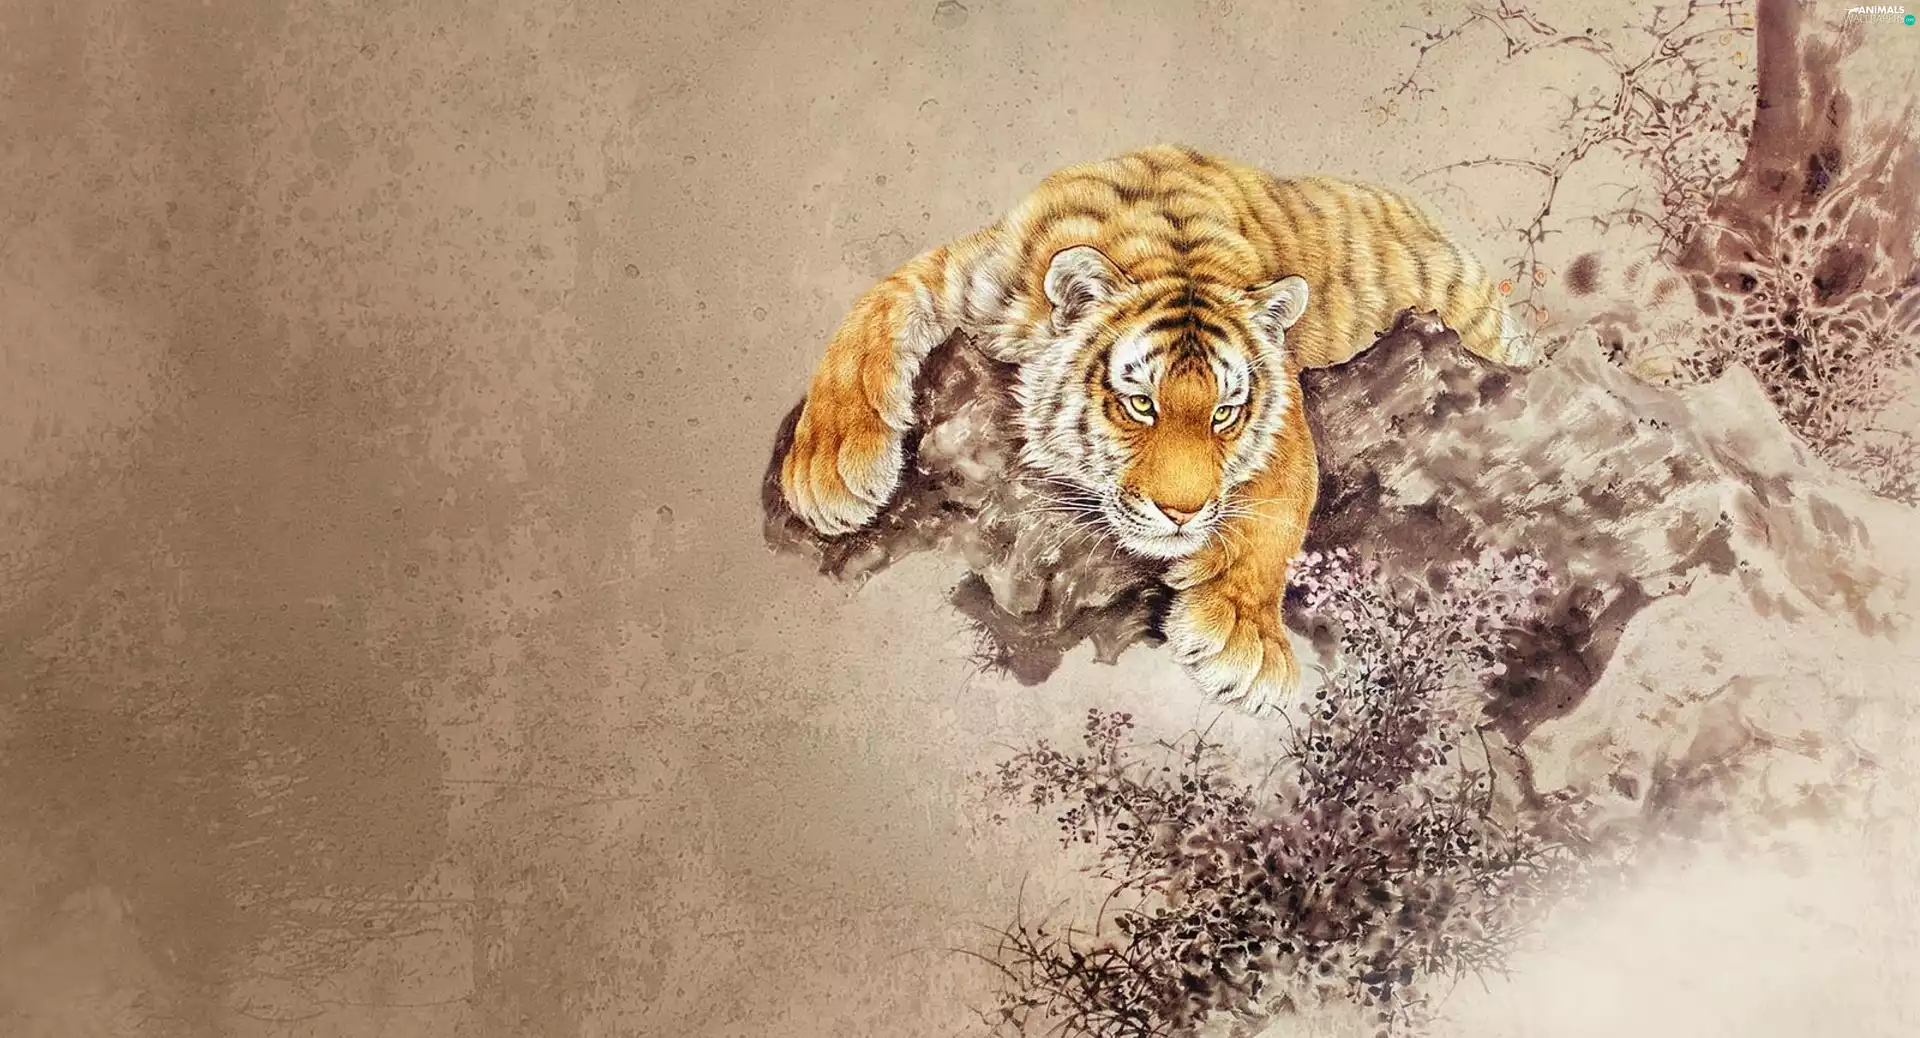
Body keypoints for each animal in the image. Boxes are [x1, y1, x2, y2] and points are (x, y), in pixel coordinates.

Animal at [777, 144, 1533, 715]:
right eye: (1140, 405)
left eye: (1225, 414)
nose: (1182, 512)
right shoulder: (965, 273)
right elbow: (869, 317)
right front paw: (827, 470)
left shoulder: (1284, 393)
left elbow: (1281, 501)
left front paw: (1243, 638)